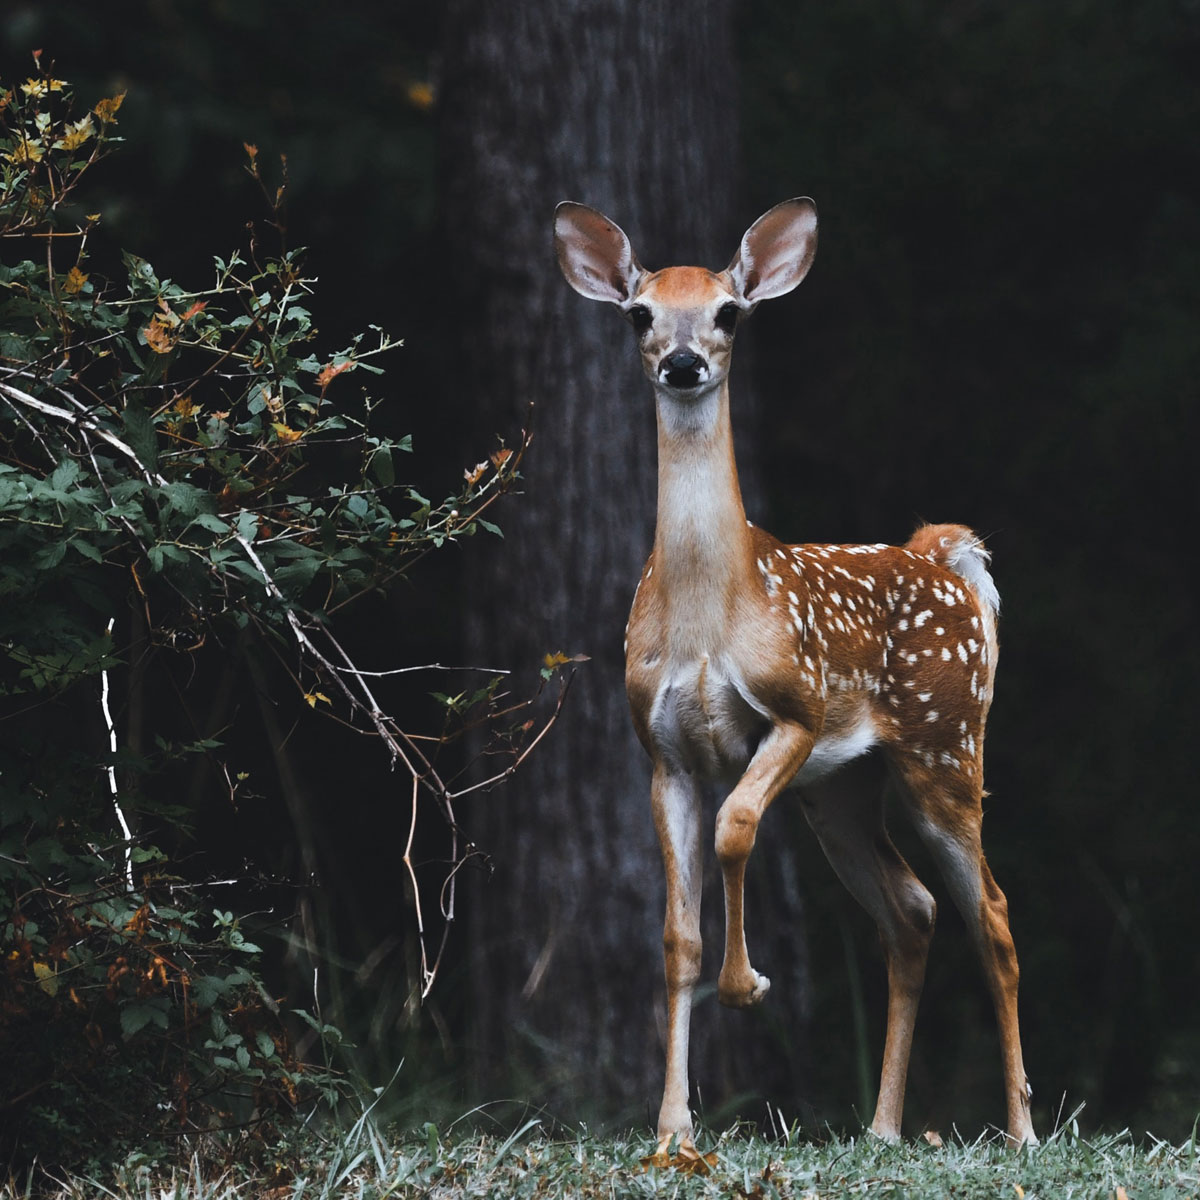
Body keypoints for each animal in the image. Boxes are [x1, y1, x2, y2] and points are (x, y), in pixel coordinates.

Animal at [556, 199, 1036, 1152]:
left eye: (729, 312)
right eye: (639, 314)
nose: (683, 363)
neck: (711, 615)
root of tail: (944, 557)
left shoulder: (795, 710)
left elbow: (736, 827)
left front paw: (749, 985)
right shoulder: (662, 753)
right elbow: (676, 937)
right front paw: (673, 1129)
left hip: (946, 747)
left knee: (993, 915)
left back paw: (1023, 1130)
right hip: (843, 789)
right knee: (912, 910)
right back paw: (883, 1128)